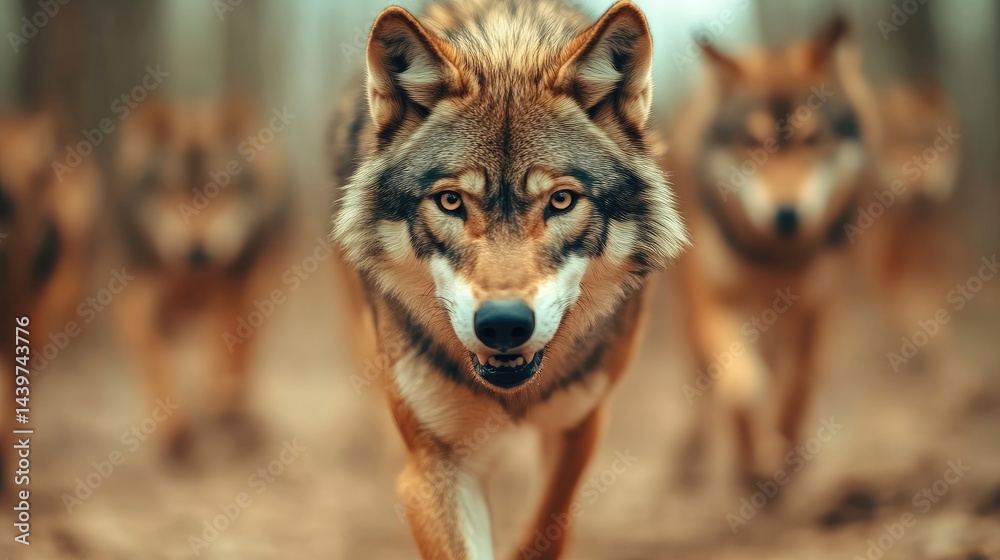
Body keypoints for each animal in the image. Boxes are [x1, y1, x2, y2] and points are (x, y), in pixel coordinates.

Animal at [114, 100, 293, 458]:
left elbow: (226, 344)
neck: (190, 276)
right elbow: (155, 360)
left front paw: (221, 395)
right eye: (170, 189)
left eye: (222, 188)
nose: (197, 251)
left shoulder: (233, 294)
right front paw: (172, 428)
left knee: (243, 345)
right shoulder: (136, 304)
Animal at [330, 0, 686, 557]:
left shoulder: (580, 423)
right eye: (450, 201)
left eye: (561, 200)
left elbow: (547, 527)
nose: (502, 325)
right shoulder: (435, 465)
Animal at [666, 18, 877, 484]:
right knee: (702, 380)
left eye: (813, 139)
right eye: (751, 143)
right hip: (690, 313)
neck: (775, 262)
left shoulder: (818, 304)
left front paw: (786, 448)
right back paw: (693, 451)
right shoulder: (715, 302)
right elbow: (742, 389)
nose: (786, 215)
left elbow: (799, 383)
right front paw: (753, 463)